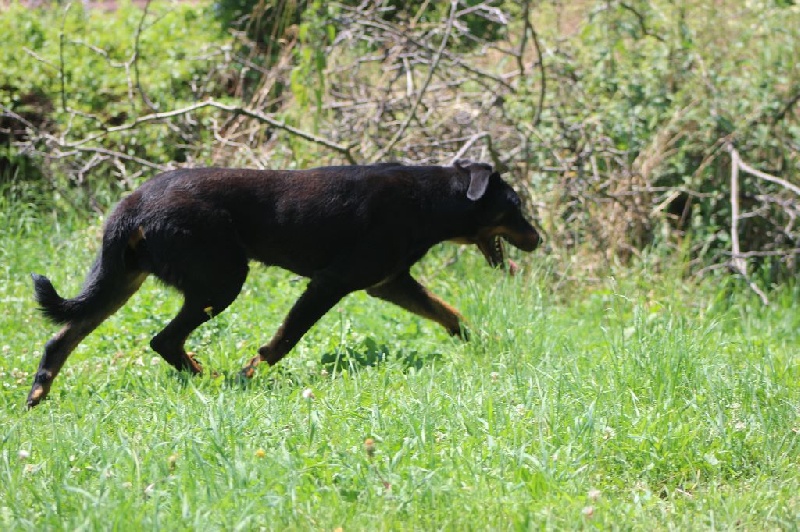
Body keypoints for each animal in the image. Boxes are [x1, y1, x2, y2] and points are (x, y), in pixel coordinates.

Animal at [26, 161, 536, 408]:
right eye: (515, 207)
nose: (538, 238)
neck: (429, 199)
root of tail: (131, 205)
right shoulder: (332, 283)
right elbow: (284, 340)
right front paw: (252, 370)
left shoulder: (389, 283)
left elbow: (449, 313)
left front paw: (479, 344)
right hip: (221, 280)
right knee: (164, 339)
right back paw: (212, 379)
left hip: (123, 280)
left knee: (61, 338)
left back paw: (36, 396)